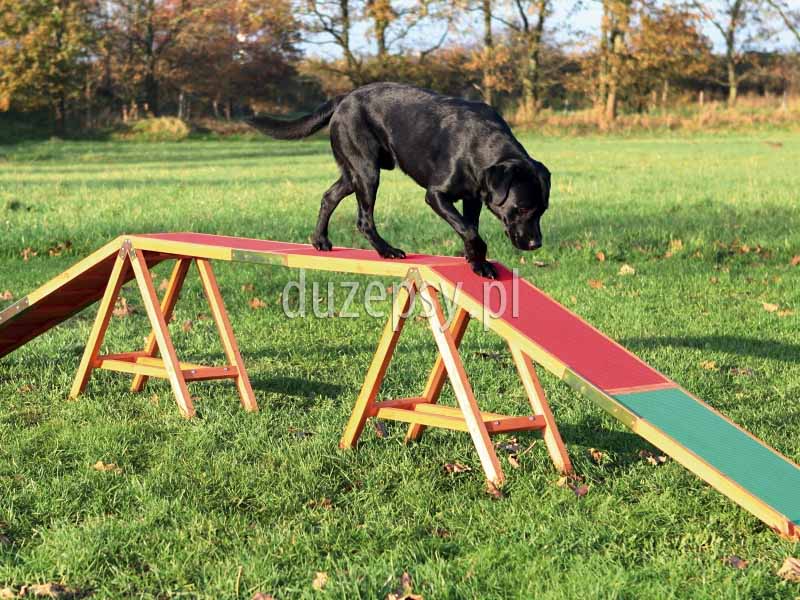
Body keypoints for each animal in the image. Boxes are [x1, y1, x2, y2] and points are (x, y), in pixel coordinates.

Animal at [250, 82, 552, 278]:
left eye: (543, 211)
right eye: (522, 208)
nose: (536, 244)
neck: (481, 145)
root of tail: (345, 97)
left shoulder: (473, 198)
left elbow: (471, 227)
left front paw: (476, 262)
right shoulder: (436, 195)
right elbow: (469, 230)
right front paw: (478, 259)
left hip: (354, 174)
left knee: (329, 196)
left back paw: (320, 240)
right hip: (367, 172)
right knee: (364, 219)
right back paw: (386, 250)